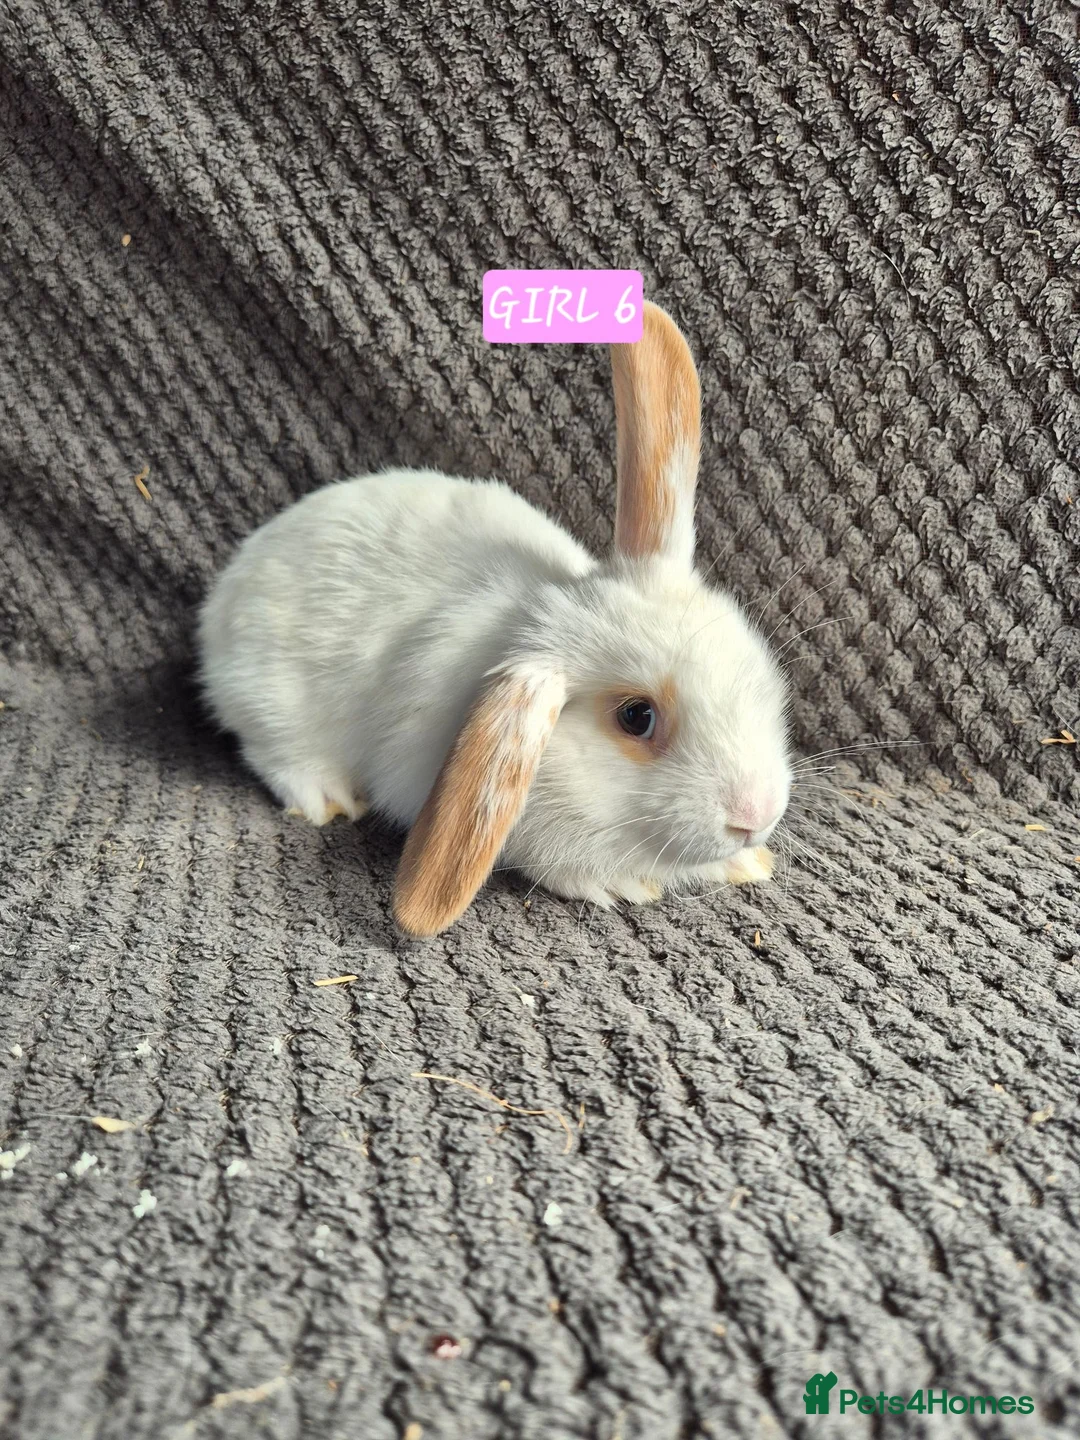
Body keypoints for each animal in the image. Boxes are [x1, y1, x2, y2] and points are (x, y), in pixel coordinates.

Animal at [197, 301, 792, 937]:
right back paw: (327, 798)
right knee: (271, 750)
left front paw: (748, 862)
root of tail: (228, 592)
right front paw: (621, 884)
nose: (757, 814)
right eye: (637, 717)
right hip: (269, 698)